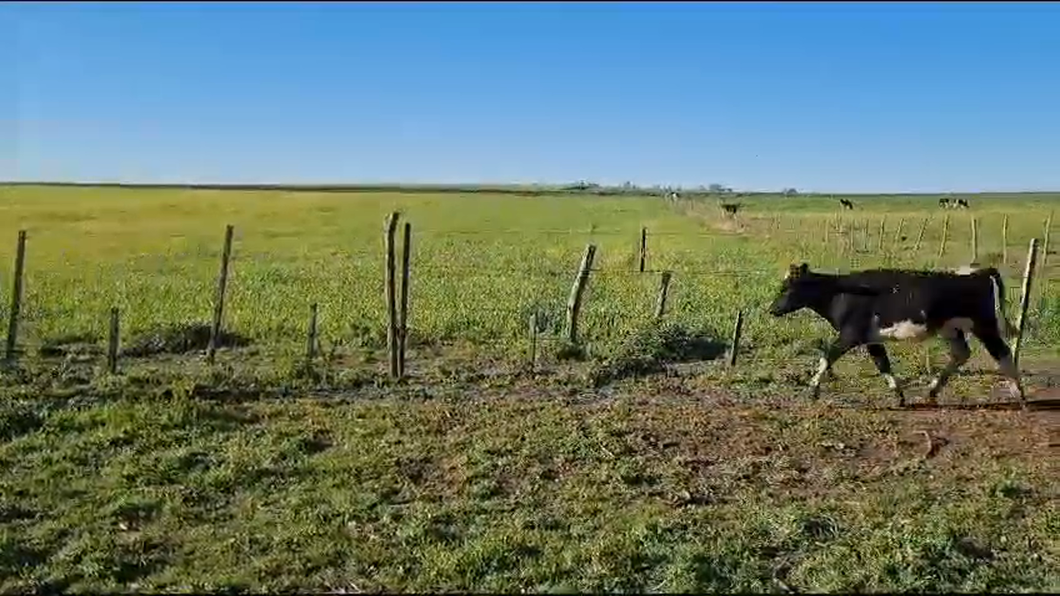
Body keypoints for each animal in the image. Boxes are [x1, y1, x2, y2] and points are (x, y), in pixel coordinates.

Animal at [767, 260, 1021, 405]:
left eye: (786, 288)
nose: (772, 309)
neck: (840, 294)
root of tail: (979, 272)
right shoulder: (870, 338)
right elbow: (882, 363)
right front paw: (898, 394)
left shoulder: (850, 334)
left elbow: (827, 356)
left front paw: (813, 389)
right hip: (951, 327)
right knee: (961, 353)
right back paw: (932, 391)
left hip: (983, 324)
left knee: (1003, 353)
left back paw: (1018, 392)